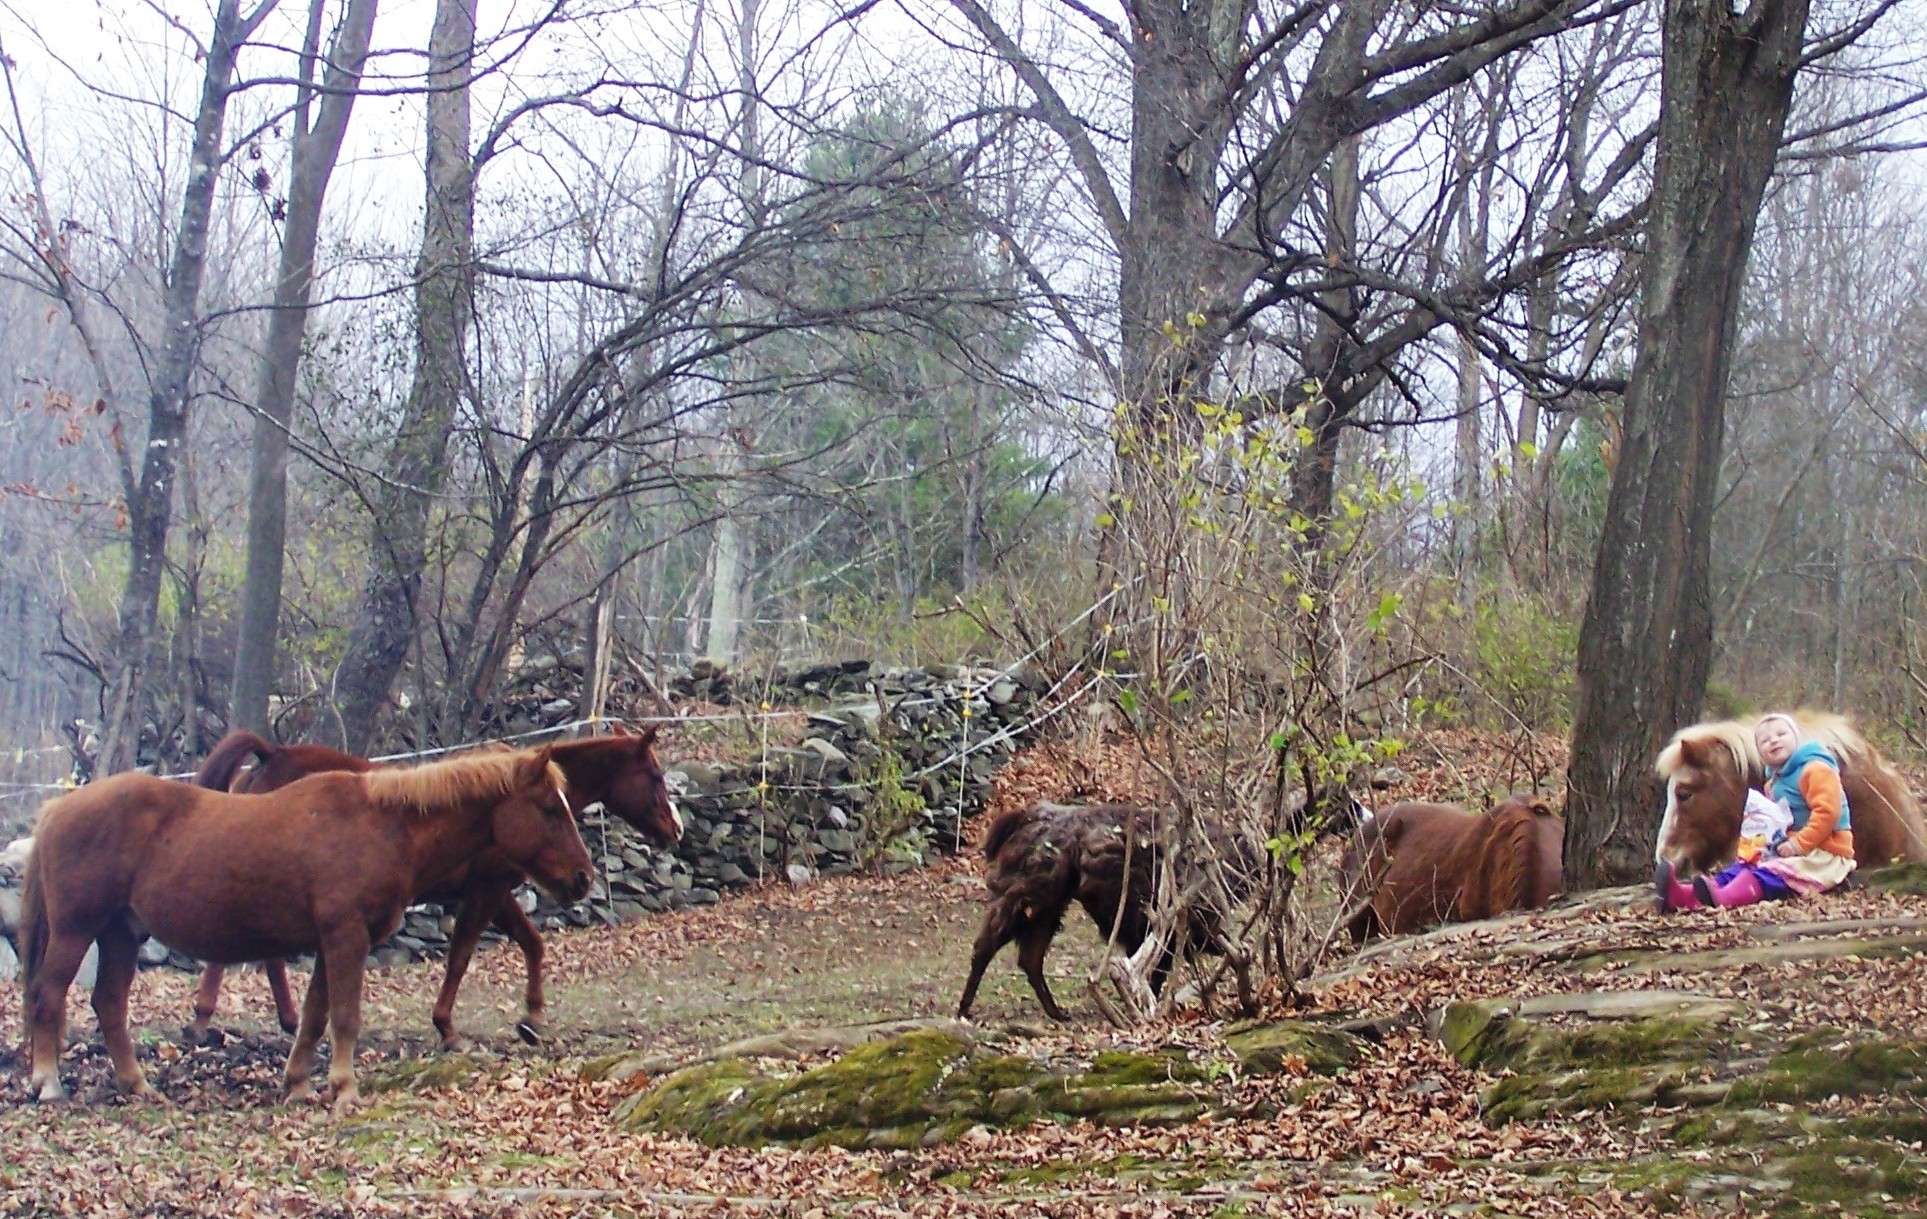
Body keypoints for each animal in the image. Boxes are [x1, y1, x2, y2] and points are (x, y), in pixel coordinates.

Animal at [18, 746, 592, 1112]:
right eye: (549, 808)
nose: (583, 878)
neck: (383, 826)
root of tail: (57, 808)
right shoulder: (346, 938)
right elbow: (345, 1018)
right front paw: (345, 1091)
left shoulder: (329, 943)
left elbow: (315, 1018)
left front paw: (298, 1084)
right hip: (76, 931)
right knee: (49, 995)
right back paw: (48, 1082)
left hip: (121, 934)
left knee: (109, 1005)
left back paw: (136, 1085)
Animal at [185, 724, 682, 1048]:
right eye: (655, 776)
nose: (675, 830)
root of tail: (271, 755)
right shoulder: (485, 891)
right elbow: (460, 957)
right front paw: (446, 1026)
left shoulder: (497, 893)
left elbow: (532, 943)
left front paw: (532, 1017)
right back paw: (208, 1019)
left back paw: (285, 1021)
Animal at [955, 801, 1269, 1021]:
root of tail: (1023, 819)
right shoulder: (1160, 926)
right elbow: (1152, 972)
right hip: (1025, 899)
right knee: (986, 946)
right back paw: (963, 1009)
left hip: (1049, 908)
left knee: (1029, 958)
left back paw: (1058, 1013)